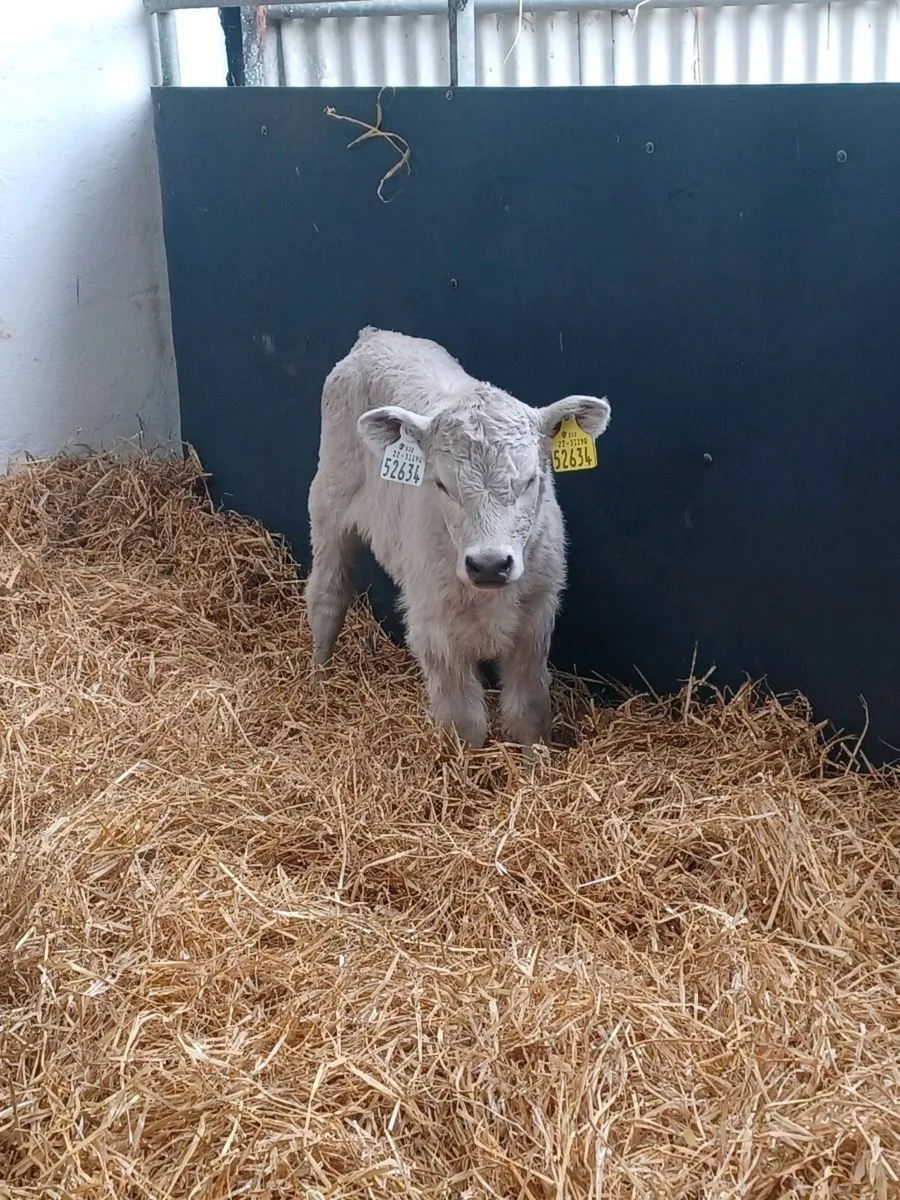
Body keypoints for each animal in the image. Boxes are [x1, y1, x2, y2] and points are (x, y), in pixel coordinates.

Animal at [305, 327, 611, 749]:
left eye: (530, 480)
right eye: (441, 485)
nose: (490, 564)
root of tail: (375, 336)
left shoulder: (536, 620)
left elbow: (529, 710)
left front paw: (536, 762)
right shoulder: (434, 628)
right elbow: (464, 723)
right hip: (329, 503)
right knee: (327, 596)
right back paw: (319, 683)